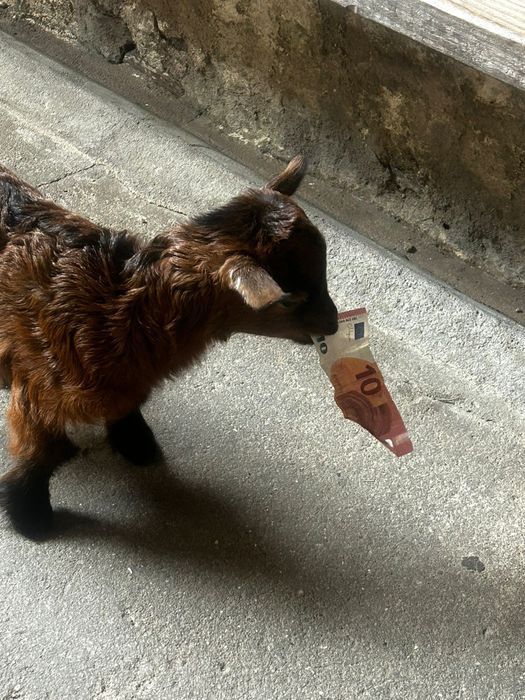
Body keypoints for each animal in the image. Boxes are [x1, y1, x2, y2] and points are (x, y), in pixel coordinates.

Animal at [0, 156, 338, 539]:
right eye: (289, 299)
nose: (333, 323)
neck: (115, 310)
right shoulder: (39, 380)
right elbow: (41, 453)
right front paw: (30, 517)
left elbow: (125, 409)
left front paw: (137, 444)